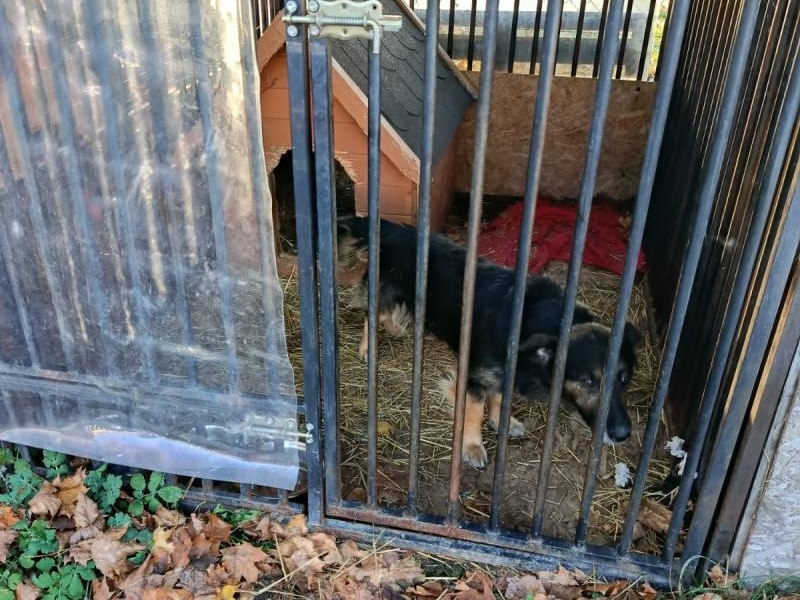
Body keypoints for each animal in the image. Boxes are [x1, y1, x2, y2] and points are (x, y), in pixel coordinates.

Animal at [337, 215, 641, 468]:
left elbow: (498, 399)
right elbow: (473, 412)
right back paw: (368, 348)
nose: (623, 434)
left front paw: (501, 421)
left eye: (624, 379)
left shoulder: (502, 373)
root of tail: (394, 229)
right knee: (371, 316)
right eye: (588, 381)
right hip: (387, 293)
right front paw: (472, 446)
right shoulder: (475, 379)